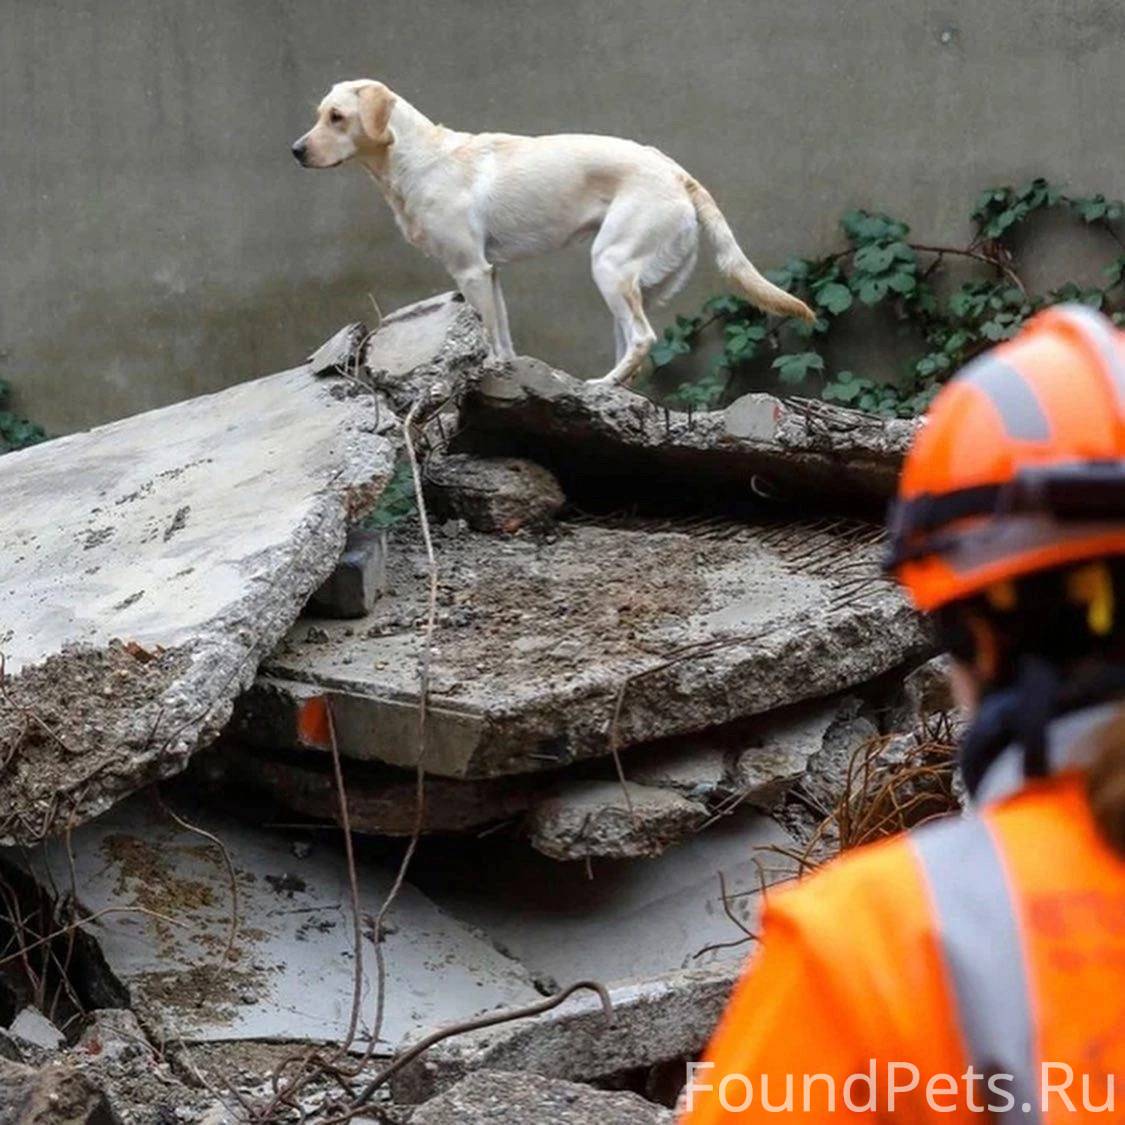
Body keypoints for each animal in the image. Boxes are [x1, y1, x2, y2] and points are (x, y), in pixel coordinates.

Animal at [294, 81, 814, 384]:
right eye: (318, 114)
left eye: (337, 117)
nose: (295, 150)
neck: (417, 159)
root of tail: (675, 170)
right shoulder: (490, 274)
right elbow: (503, 335)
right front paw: (506, 368)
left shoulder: (470, 271)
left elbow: (489, 336)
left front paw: (491, 370)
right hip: (625, 284)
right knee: (634, 347)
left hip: (609, 265)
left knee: (644, 339)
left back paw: (602, 385)